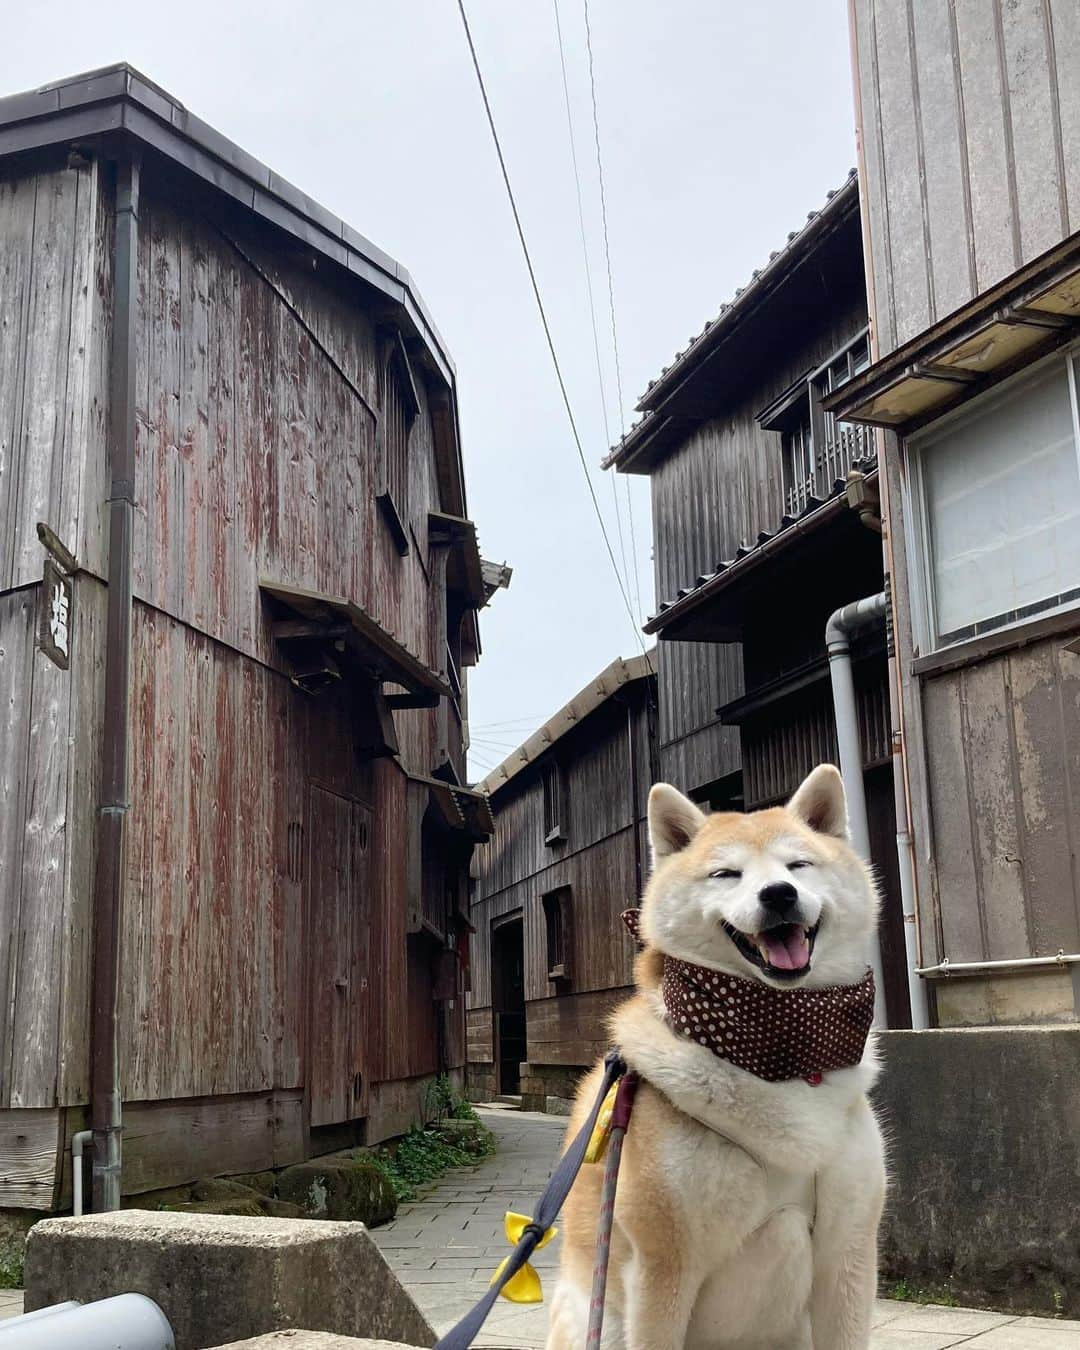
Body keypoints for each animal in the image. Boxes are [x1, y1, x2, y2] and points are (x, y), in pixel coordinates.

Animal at [548, 772, 885, 1350]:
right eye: (726, 873)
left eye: (799, 865)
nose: (779, 894)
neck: (782, 1053)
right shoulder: (662, 1264)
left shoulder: (849, 1252)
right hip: (600, 1317)